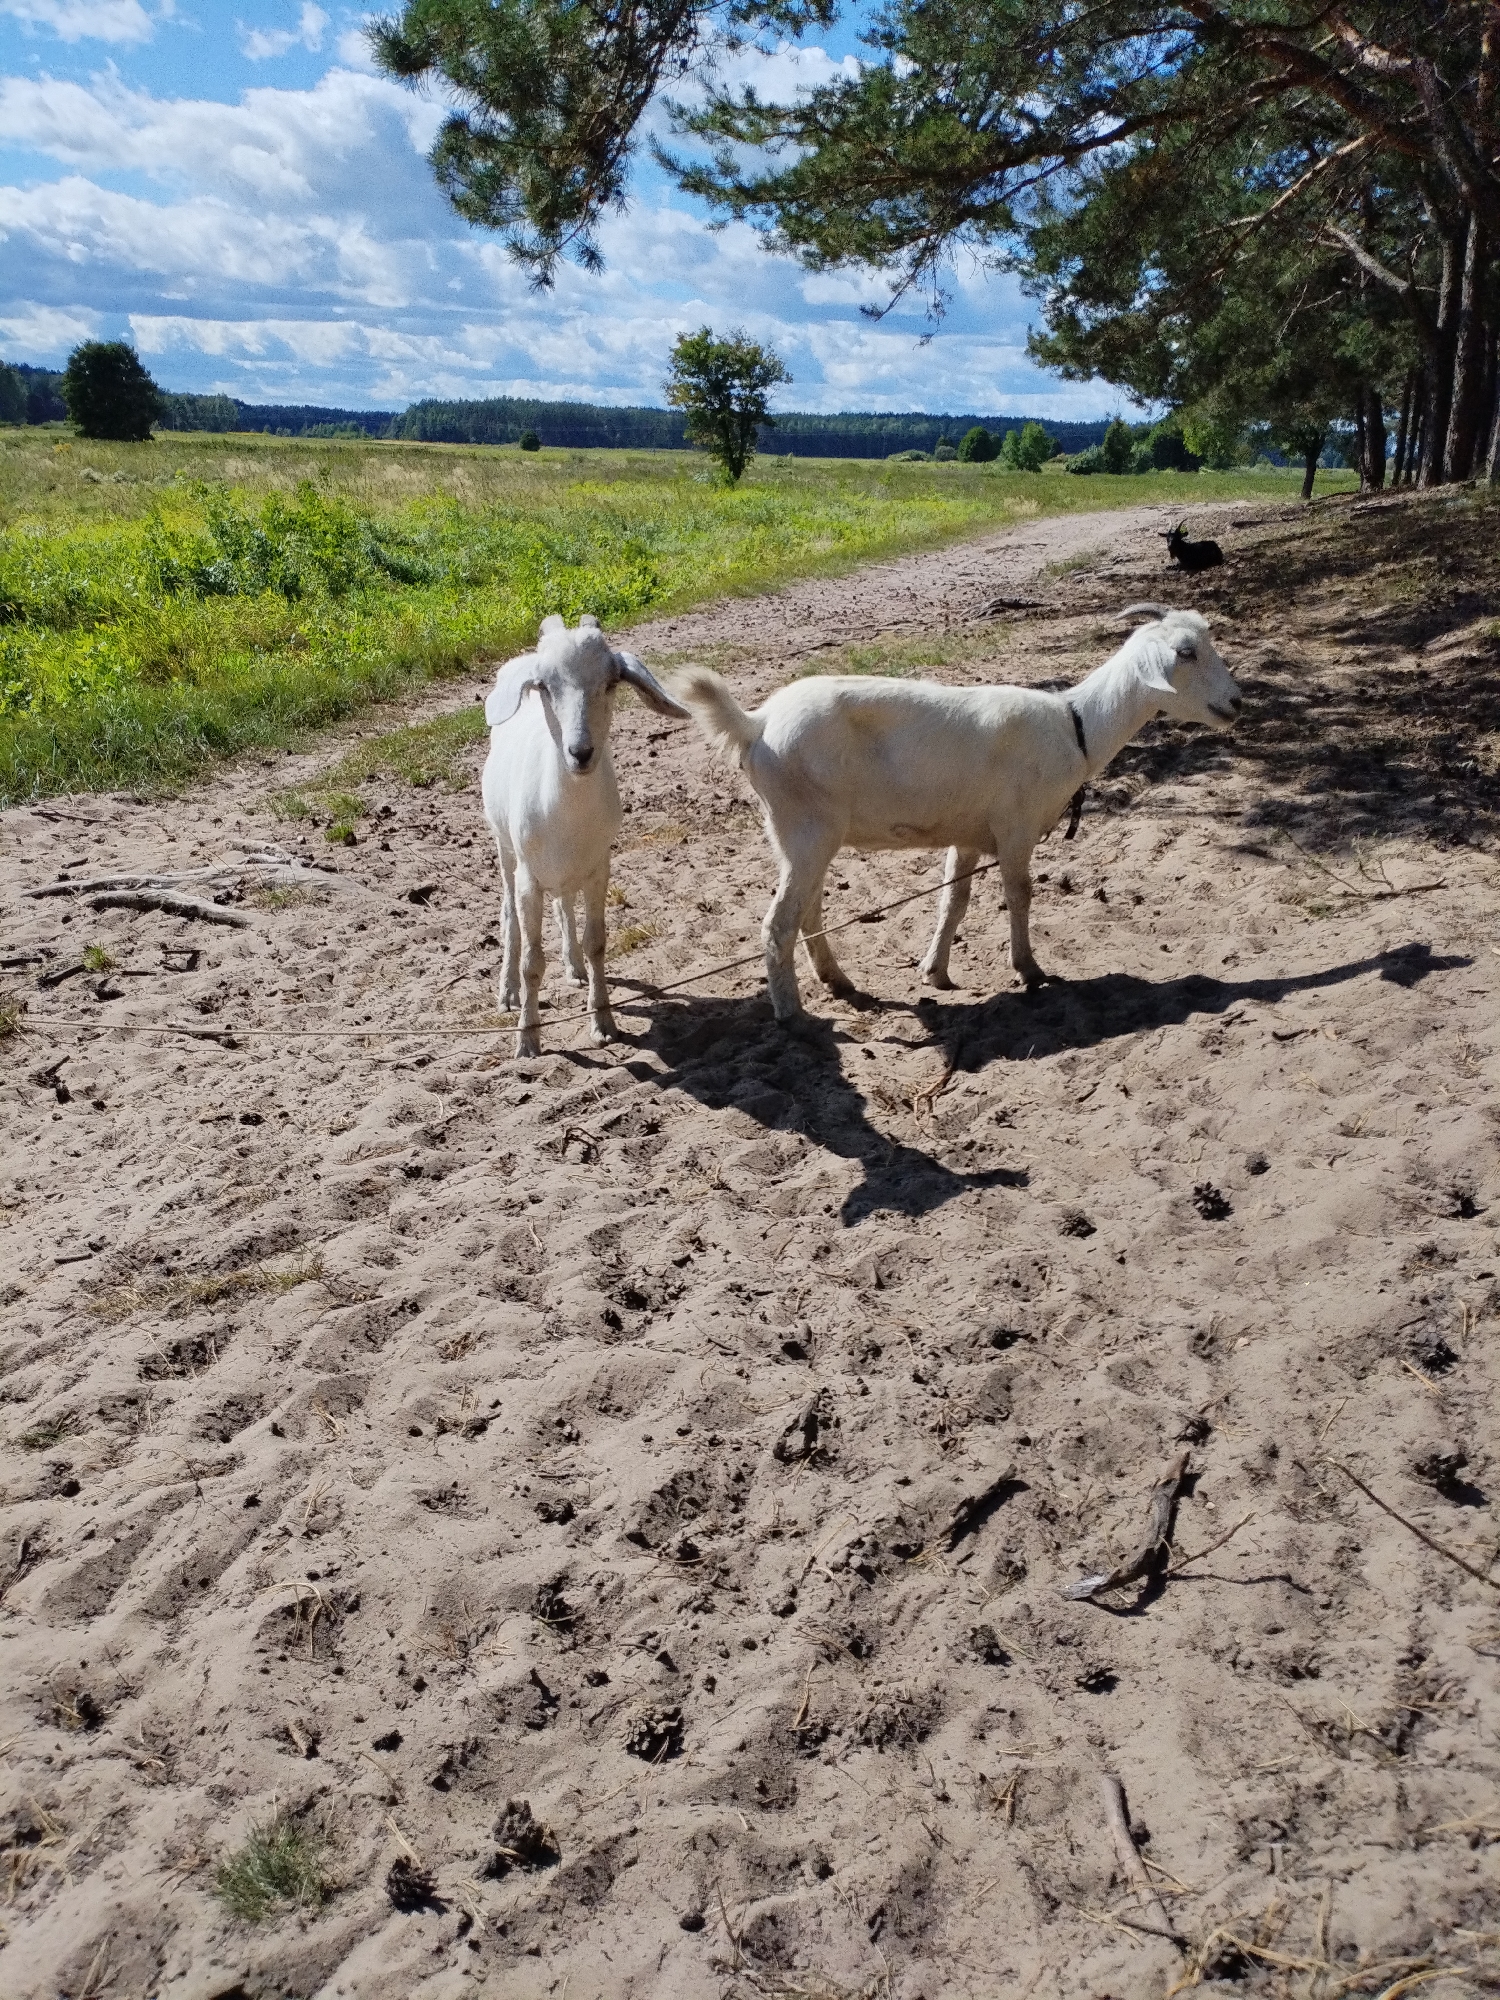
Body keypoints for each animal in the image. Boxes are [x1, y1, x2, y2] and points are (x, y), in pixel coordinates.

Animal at [481, 613, 688, 1056]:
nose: (581, 753)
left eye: (610, 682)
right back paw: (507, 993)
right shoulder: (529, 877)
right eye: (544, 686)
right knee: (509, 917)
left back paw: (573, 967)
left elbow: (597, 944)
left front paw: (604, 1022)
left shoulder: (598, 868)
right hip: (505, 848)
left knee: (564, 905)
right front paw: (528, 1039)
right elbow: (532, 961)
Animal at [671, 607, 1241, 1020]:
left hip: (800, 832)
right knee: (779, 923)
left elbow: (954, 902)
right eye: (1186, 652)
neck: (1075, 726)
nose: (1237, 701)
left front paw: (936, 970)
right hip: (806, 826)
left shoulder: (967, 835)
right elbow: (1020, 894)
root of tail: (757, 722)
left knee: (807, 911)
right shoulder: (1015, 827)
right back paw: (792, 1014)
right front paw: (1030, 970)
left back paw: (839, 981)